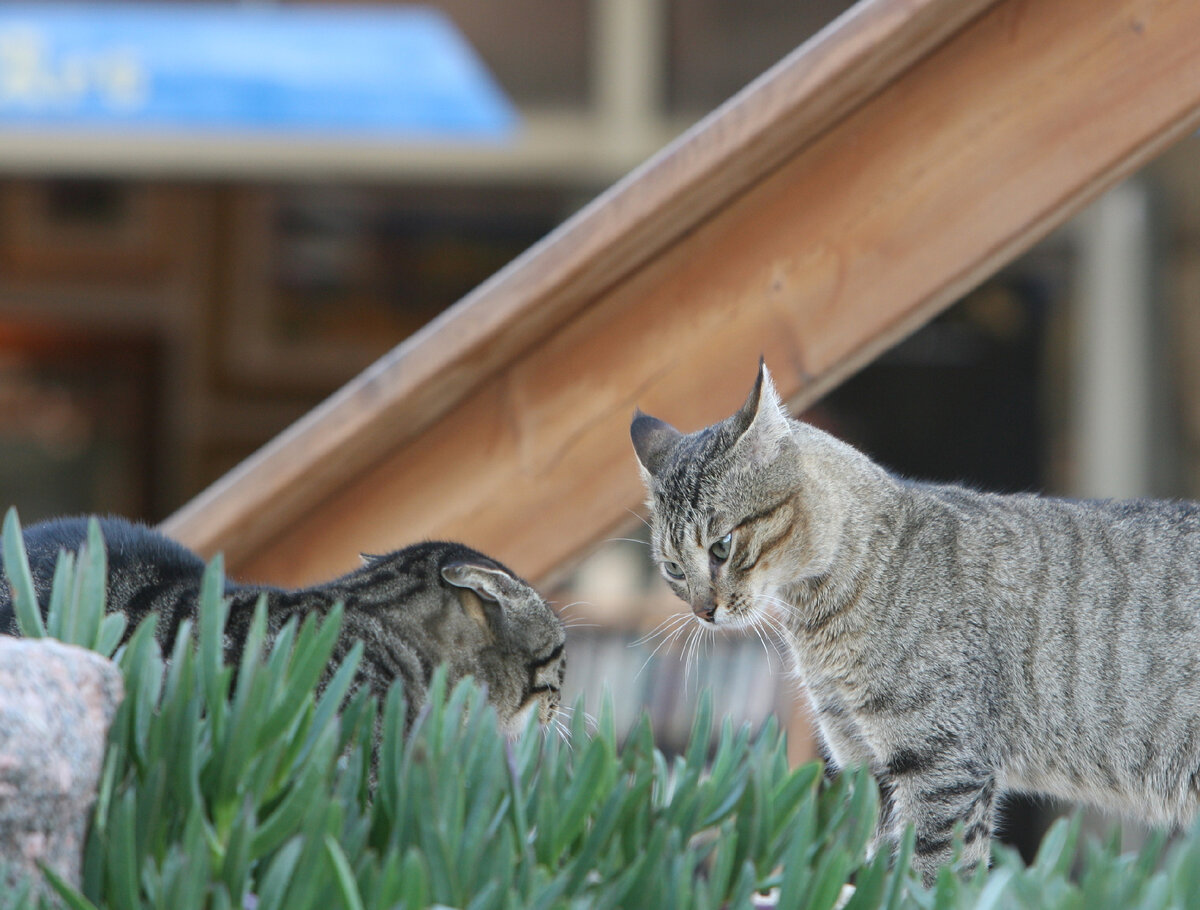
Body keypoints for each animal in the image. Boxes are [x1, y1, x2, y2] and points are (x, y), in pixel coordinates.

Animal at [633, 362, 1200, 883]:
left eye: (722, 546)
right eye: (673, 569)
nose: (702, 611)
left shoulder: (941, 766)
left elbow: (931, 875)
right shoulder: (866, 763)